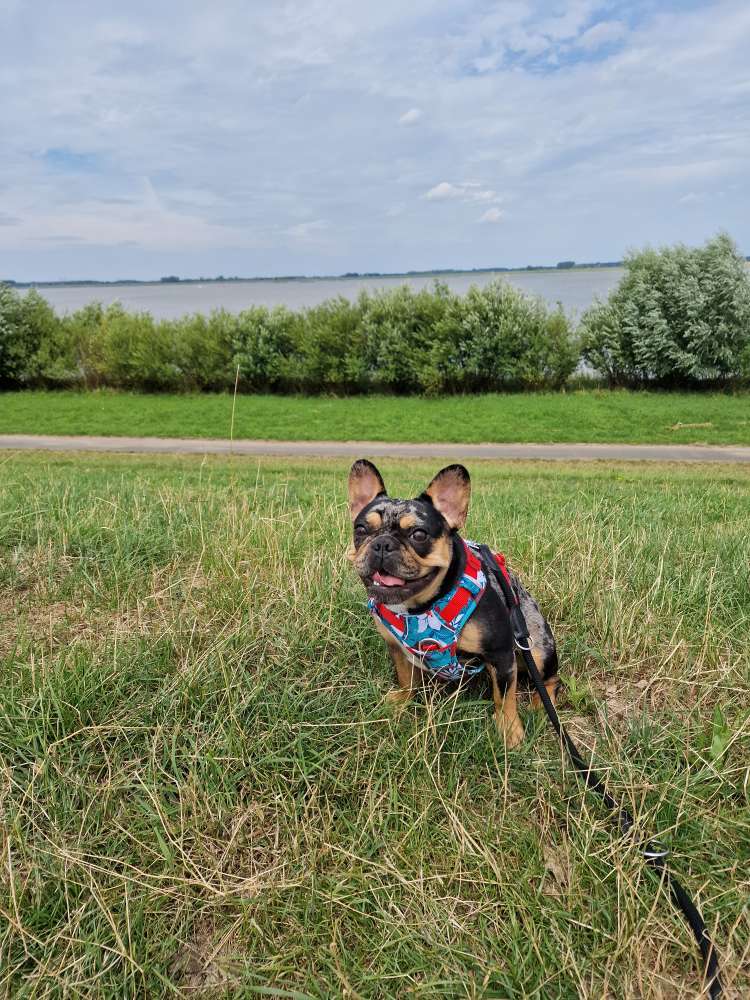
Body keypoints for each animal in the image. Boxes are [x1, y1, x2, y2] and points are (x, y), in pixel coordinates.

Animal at [350, 458, 560, 744]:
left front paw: (508, 730)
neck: (421, 609)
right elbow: (406, 678)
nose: (382, 543)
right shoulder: (396, 647)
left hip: (537, 650)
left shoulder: (502, 654)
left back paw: (541, 702)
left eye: (418, 534)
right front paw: (402, 701)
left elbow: (505, 698)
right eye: (360, 529)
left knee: (551, 681)